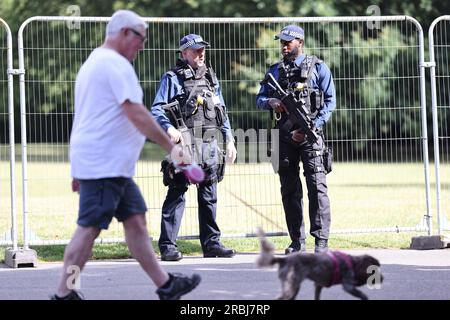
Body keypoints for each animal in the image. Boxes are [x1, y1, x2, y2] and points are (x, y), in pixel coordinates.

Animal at [256, 228, 384, 300]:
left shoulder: (318, 285)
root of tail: (284, 260)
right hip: (291, 286)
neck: (353, 262)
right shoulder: (348, 285)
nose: (382, 278)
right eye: (374, 271)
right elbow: (361, 294)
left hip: (294, 286)